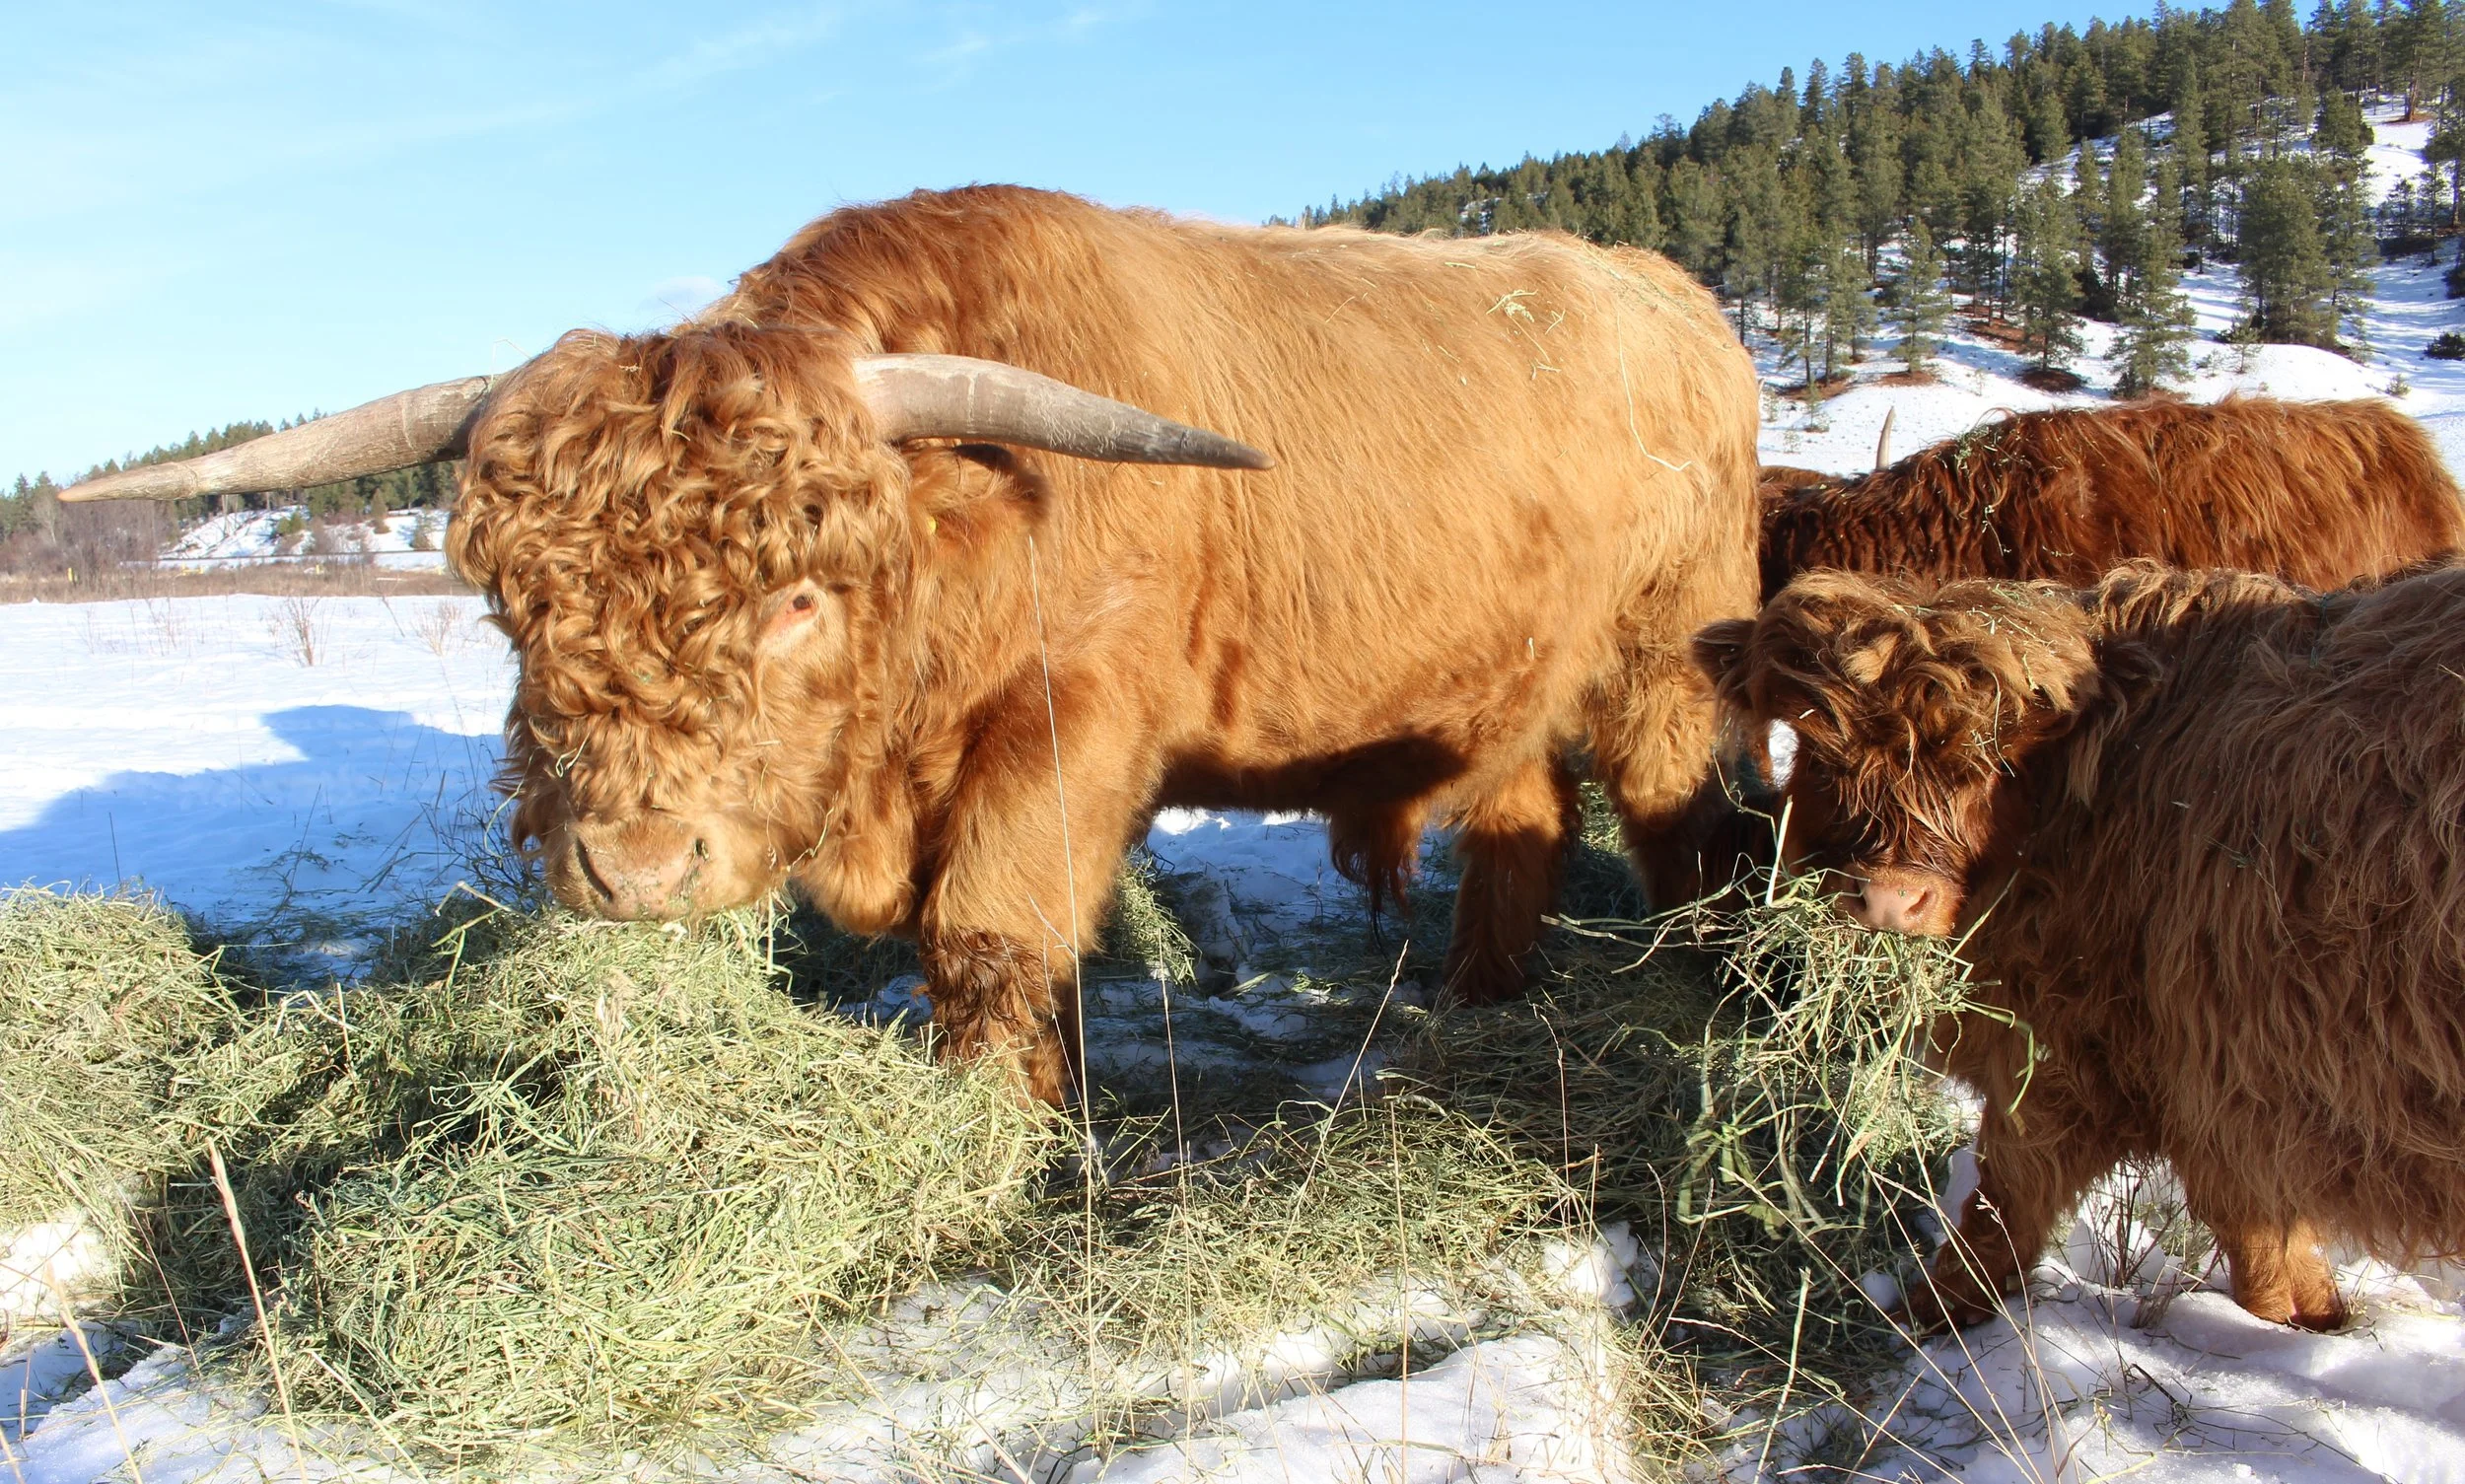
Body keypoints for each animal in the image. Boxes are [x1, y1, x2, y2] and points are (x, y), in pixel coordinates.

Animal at [65, 185, 1762, 1103]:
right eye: (515, 602)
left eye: (799, 598)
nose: (634, 864)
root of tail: (1665, 297)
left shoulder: (1074, 719)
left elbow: (988, 934)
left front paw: (999, 1127)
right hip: (1512, 677)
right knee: (1519, 814)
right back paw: (1481, 994)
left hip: (1664, 655)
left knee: (1675, 818)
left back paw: (1702, 990)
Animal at [1693, 559, 2465, 1332]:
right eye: (1825, 754)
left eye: (1994, 762)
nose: (1889, 898)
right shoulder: (2220, 1085)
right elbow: (2267, 1244)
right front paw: (2315, 1320)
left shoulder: (2087, 1055)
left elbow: (2007, 1198)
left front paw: (1933, 1312)